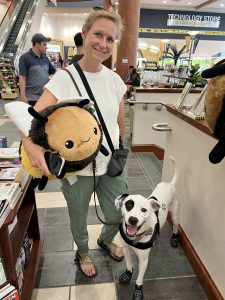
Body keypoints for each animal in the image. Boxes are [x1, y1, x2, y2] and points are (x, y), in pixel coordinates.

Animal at [116, 156, 179, 298]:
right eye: (128, 205)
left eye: (144, 210)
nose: (133, 220)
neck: (135, 238)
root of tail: (170, 184)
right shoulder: (126, 250)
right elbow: (129, 265)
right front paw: (127, 275)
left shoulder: (144, 261)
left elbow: (139, 279)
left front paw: (138, 291)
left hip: (175, 215)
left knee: (175, 227)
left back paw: (174, 238)